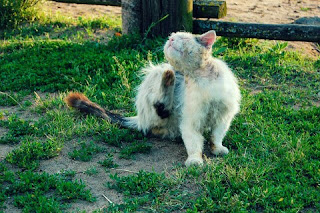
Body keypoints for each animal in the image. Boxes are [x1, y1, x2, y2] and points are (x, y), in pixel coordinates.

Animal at [65, 30, 240, 166]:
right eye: (172, 36)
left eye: (182, 38)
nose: (170, 39)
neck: (200, 78)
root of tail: (140, 118)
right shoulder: (190, 121)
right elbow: (193, 143)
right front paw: (195, 160)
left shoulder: (224, 117)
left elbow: (216, 136)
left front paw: (217, 149)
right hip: (156, 75)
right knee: (159, 107)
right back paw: (168, 78)